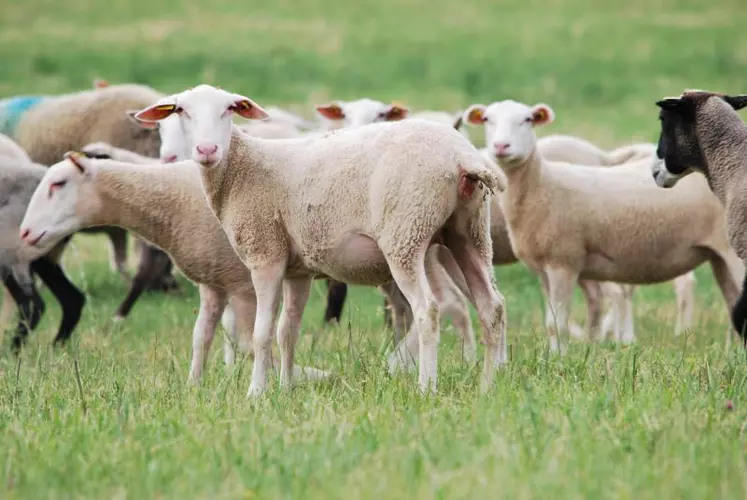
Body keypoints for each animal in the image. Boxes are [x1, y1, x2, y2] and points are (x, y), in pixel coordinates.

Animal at [0, 156, 85, 352]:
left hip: (11, 249)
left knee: (32, 303)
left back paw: (13, 352)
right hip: (42, 254)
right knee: (72, 299)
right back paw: (55, 349)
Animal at [19, 150, 330, 384]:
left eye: (58, 184)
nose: (24, 233)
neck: (171, 201)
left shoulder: (242, 283)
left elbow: (245, 340)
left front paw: (311, 375)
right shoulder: (218, 278)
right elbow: (205, 337)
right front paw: (199, 385)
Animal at [134, 84, 508, 394]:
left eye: (229, 109)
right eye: (181, 111)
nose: (206, 149)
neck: (242, 168)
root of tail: (461, 156)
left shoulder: (265, 254)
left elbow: (261, 332)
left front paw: (256, 393)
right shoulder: (297, 270)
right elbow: (288, 331)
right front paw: (285, 389)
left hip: (406, 233)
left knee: (428, 310)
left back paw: (426, 387)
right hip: (468, 232)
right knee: (492, 306)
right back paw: (489, 385)